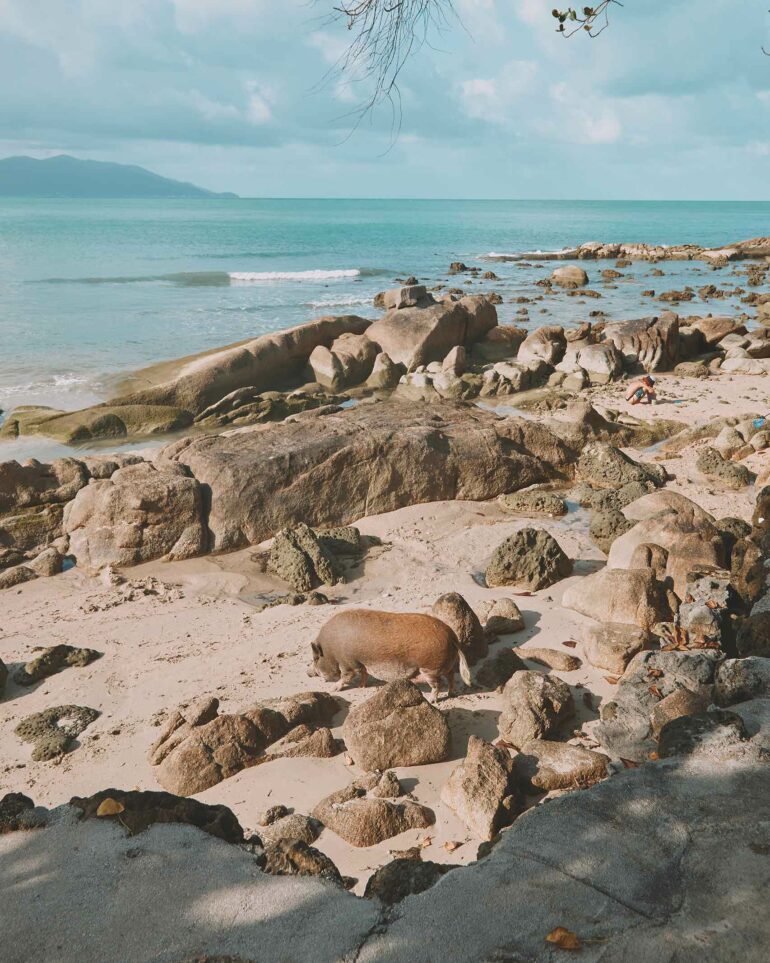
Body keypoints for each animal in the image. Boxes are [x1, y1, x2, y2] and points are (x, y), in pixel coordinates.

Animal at [307, 608, 472, 701]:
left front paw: (333, 689)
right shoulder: (361, 664)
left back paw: (432, 700)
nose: (308, 673)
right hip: (445, 665)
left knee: (438, 684)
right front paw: (361, 687)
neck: (330, 650)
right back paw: (451, 694)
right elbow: (364, 674)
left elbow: (346, 676)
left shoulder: (348, 663)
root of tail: (452, 636)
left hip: (429, 668)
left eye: (315, 658)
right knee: (451, 676)